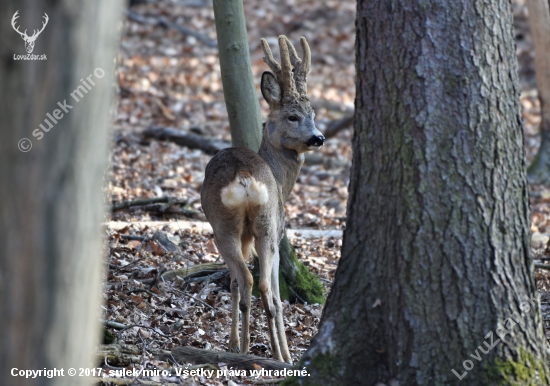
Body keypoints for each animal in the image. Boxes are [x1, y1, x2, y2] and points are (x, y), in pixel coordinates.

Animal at [202, 35, 324, 362]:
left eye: (314, 115)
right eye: (293, 116)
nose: (318, 138)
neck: (281, 181)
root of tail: (245, 177)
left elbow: (235, 283)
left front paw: (232, 342)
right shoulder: (279, 231)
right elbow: (278, 297)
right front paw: (285, 353)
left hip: (229, 227)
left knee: (247, 280)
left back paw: (246, 348)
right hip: (263, 225)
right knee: (261, 285)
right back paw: (273, 354)